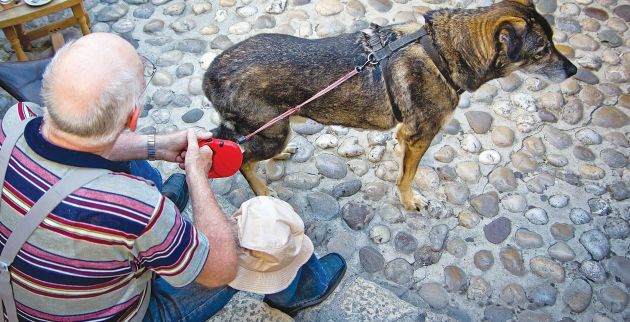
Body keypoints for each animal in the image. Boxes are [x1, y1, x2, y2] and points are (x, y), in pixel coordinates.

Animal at [205, 0, 580, 211]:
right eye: (542, 50)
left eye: (552, 42)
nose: (575, 71)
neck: (444, 50)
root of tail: (210, 75)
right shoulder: (418, 137)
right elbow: (407, 176)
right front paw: (409, 200)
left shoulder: (408, 136)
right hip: (271, 131)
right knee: (243, 160)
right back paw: (263, 191)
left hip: (274, 128)